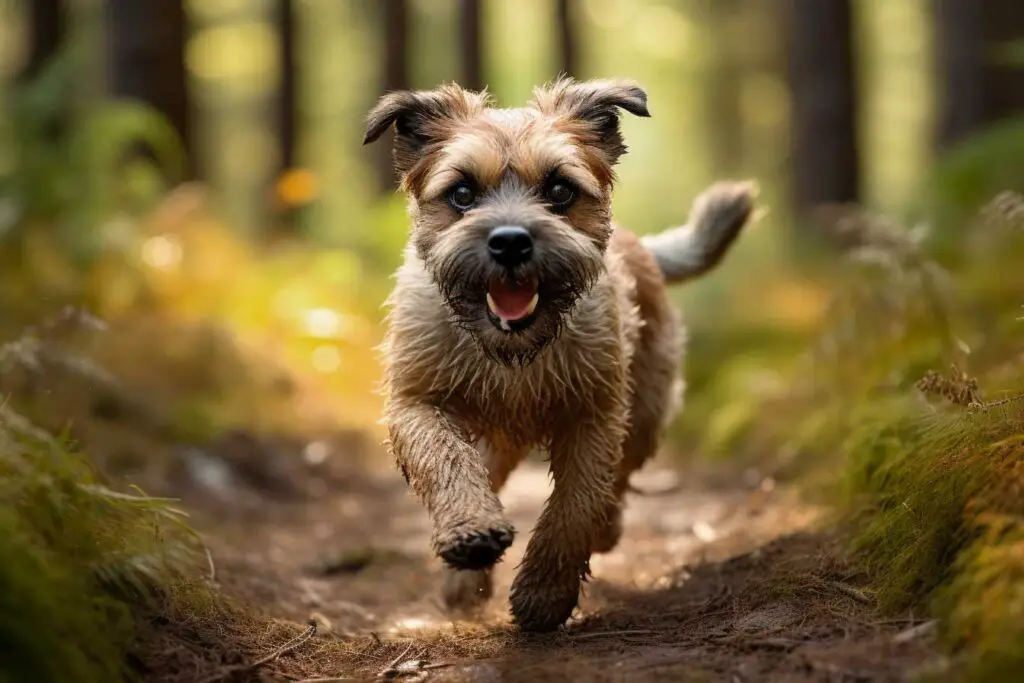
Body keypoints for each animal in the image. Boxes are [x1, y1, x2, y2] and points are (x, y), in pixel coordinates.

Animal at [364, 77, 757, 634]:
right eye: (461, 193)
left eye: (559, 191)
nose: (510, 243)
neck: (514, 352)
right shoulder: (416, 403)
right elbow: (445, 461)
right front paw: (470, 532)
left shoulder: (595, 416)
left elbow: (575, 506)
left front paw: (544, 593)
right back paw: (464, 578)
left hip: (645, 413)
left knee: (619, 480)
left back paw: (605, 529)